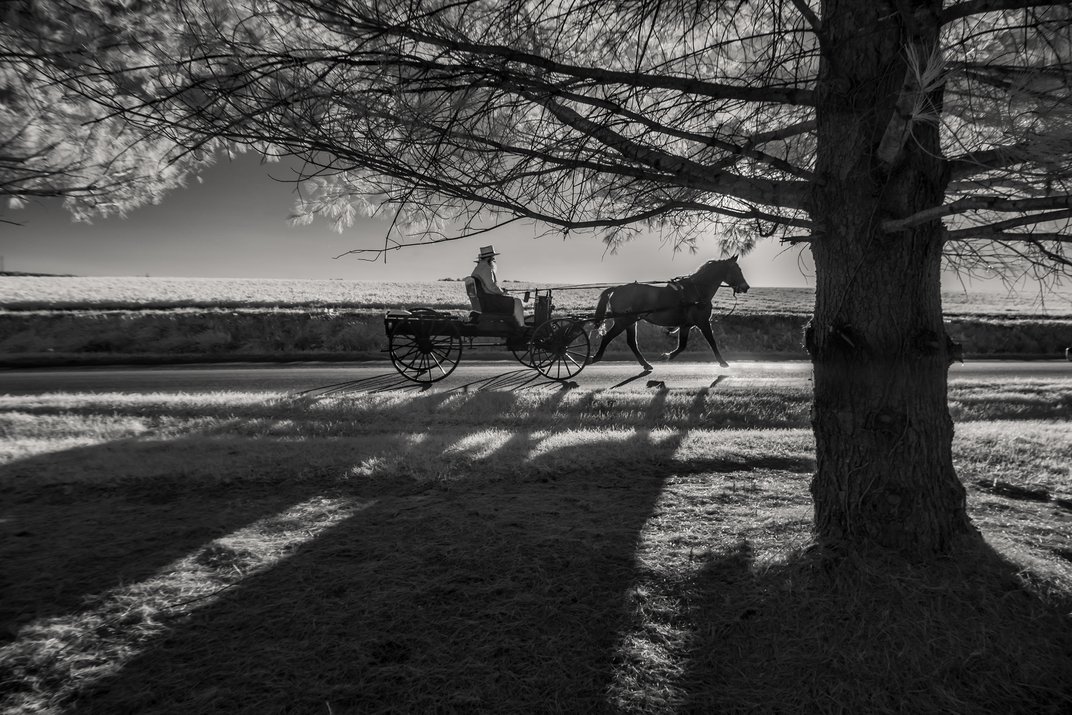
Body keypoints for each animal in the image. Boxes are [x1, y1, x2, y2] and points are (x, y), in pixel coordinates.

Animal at [583, 256, 750, 368]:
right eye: (737, 270)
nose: (746, 287)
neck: (696, 291)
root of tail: (617, 289)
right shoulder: (703, 322)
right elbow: (712, 341)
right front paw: (722, 362)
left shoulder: (686, 325)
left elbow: (682, 345)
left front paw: (667, 356)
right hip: (624, 321)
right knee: (608, 337)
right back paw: (595, 358)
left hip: (630, 321)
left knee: (631, 342)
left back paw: (645, 364)